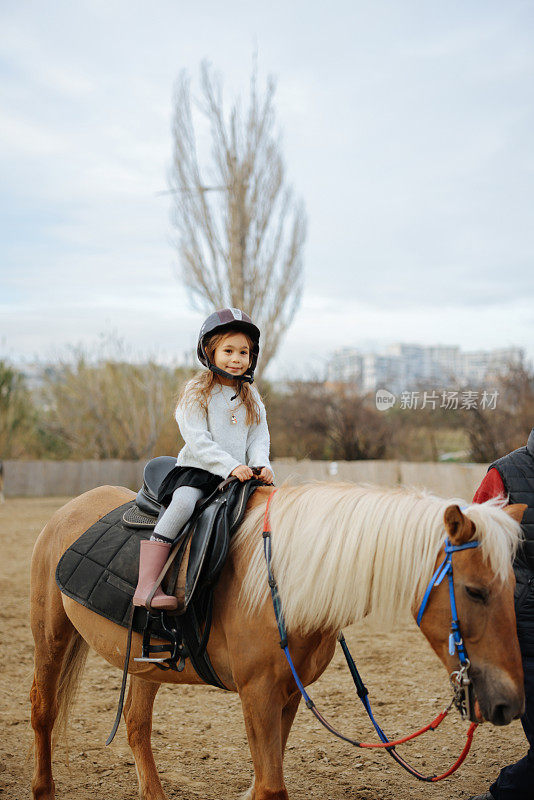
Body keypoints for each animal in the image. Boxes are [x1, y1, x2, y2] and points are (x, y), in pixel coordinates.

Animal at [32, 482, 528, 800]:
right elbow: (271, 787)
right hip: (51, 636)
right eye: (474, 591)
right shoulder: (258, 694)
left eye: (513, 588)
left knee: (136, 726)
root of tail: (70, 509)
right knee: (43, 709)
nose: (508, 704)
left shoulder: (288, 693)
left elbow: (266, 781)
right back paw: (43, 788)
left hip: (144, 660)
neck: (284, 582)